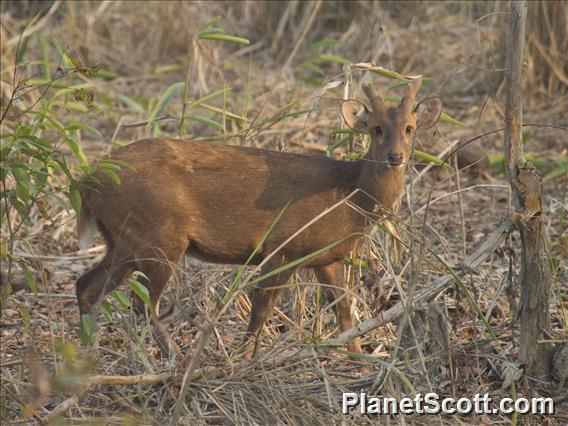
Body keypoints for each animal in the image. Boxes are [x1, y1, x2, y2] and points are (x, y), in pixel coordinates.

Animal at [75, 79, 442, 356]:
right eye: (377, 129)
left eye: (409, 128)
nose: (396, 157)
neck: (349, 197)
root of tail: (88, 182)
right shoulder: (282, 246)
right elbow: (261, 310)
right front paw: (243, 359)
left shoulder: (327, 256)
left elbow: (344, 311)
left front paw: (359, 361)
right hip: (159, 233)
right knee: (142, 304)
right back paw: (172, 358)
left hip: (124, 239)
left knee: (87, 286)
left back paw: (87, 350)